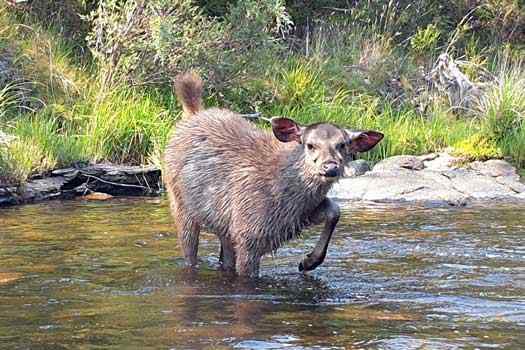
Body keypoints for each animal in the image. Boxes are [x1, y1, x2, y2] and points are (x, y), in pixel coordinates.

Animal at [166, 72, 382, 278]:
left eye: (342, 145)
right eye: (310, 145)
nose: (330, 167)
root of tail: (193, 112)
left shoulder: (296, 217)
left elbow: (335, 210)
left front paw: (309, 261)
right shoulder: (248, 236)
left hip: (223, 226)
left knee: (224, 259)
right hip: (181, 205)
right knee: (189, 254)